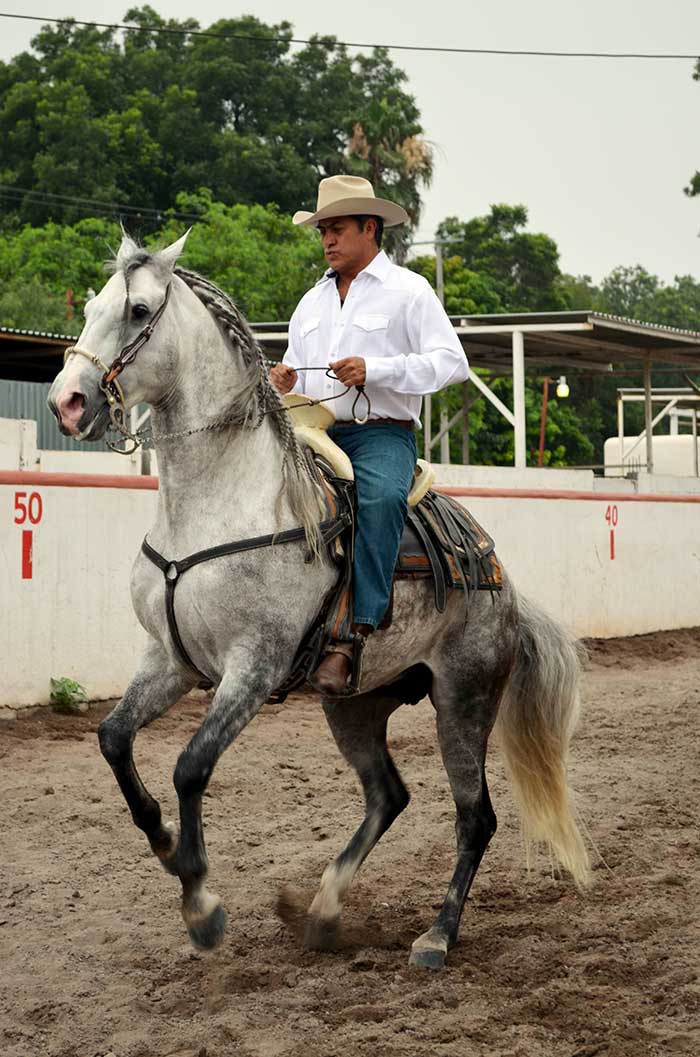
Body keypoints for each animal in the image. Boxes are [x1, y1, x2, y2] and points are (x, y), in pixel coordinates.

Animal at [48, 235, 592, 968]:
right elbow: (112, 739)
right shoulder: (170, 659)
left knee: (474, 816)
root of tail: (504, 583)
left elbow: (191, 766)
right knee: (388, 794)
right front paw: (164, 844)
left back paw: (436, 935)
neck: (220, 501)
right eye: (91, 307)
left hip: (465, 698)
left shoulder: (254, 667)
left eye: (137, 311)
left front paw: (201, 903)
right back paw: (324, 910)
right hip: (354, 704)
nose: (68, 403)